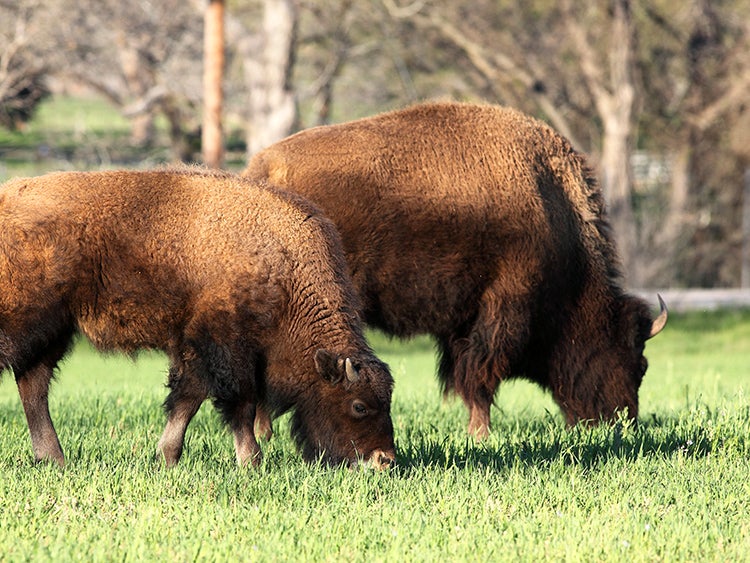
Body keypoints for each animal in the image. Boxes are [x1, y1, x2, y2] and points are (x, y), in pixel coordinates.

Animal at [0, 169, 396, 472]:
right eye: (359, 405)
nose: (384, 460)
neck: (282, 267)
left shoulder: (194, 349)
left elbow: (187, 399)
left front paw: (167, 457)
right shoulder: (227, 348)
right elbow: (238, 403)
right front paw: (251, 462)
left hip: (52, 332)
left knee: (33, 386)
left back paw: (54, 459)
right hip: (26, 324)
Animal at [245, 102, 668, 440]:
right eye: (638, 363)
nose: (622, 422)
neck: (552, 210)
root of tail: (264, 172)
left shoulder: (462, 323)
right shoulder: (499, 313)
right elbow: (480, 377)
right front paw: (481, 434)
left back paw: (264, 433)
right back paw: (264, 433)